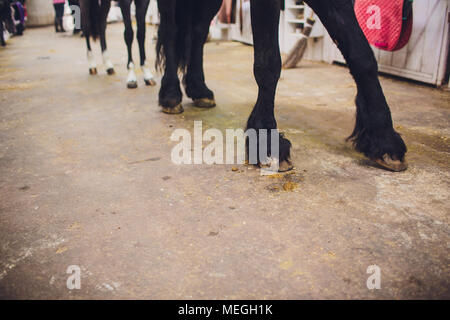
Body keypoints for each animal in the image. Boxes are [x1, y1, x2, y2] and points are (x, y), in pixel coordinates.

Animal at [156, 0, 408, 172]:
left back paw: (199, 89)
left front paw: (383, 138)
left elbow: (362, 55)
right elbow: (269, 62)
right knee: (170, 29)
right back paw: (170, 95)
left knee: (198, 31)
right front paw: (266, 138)